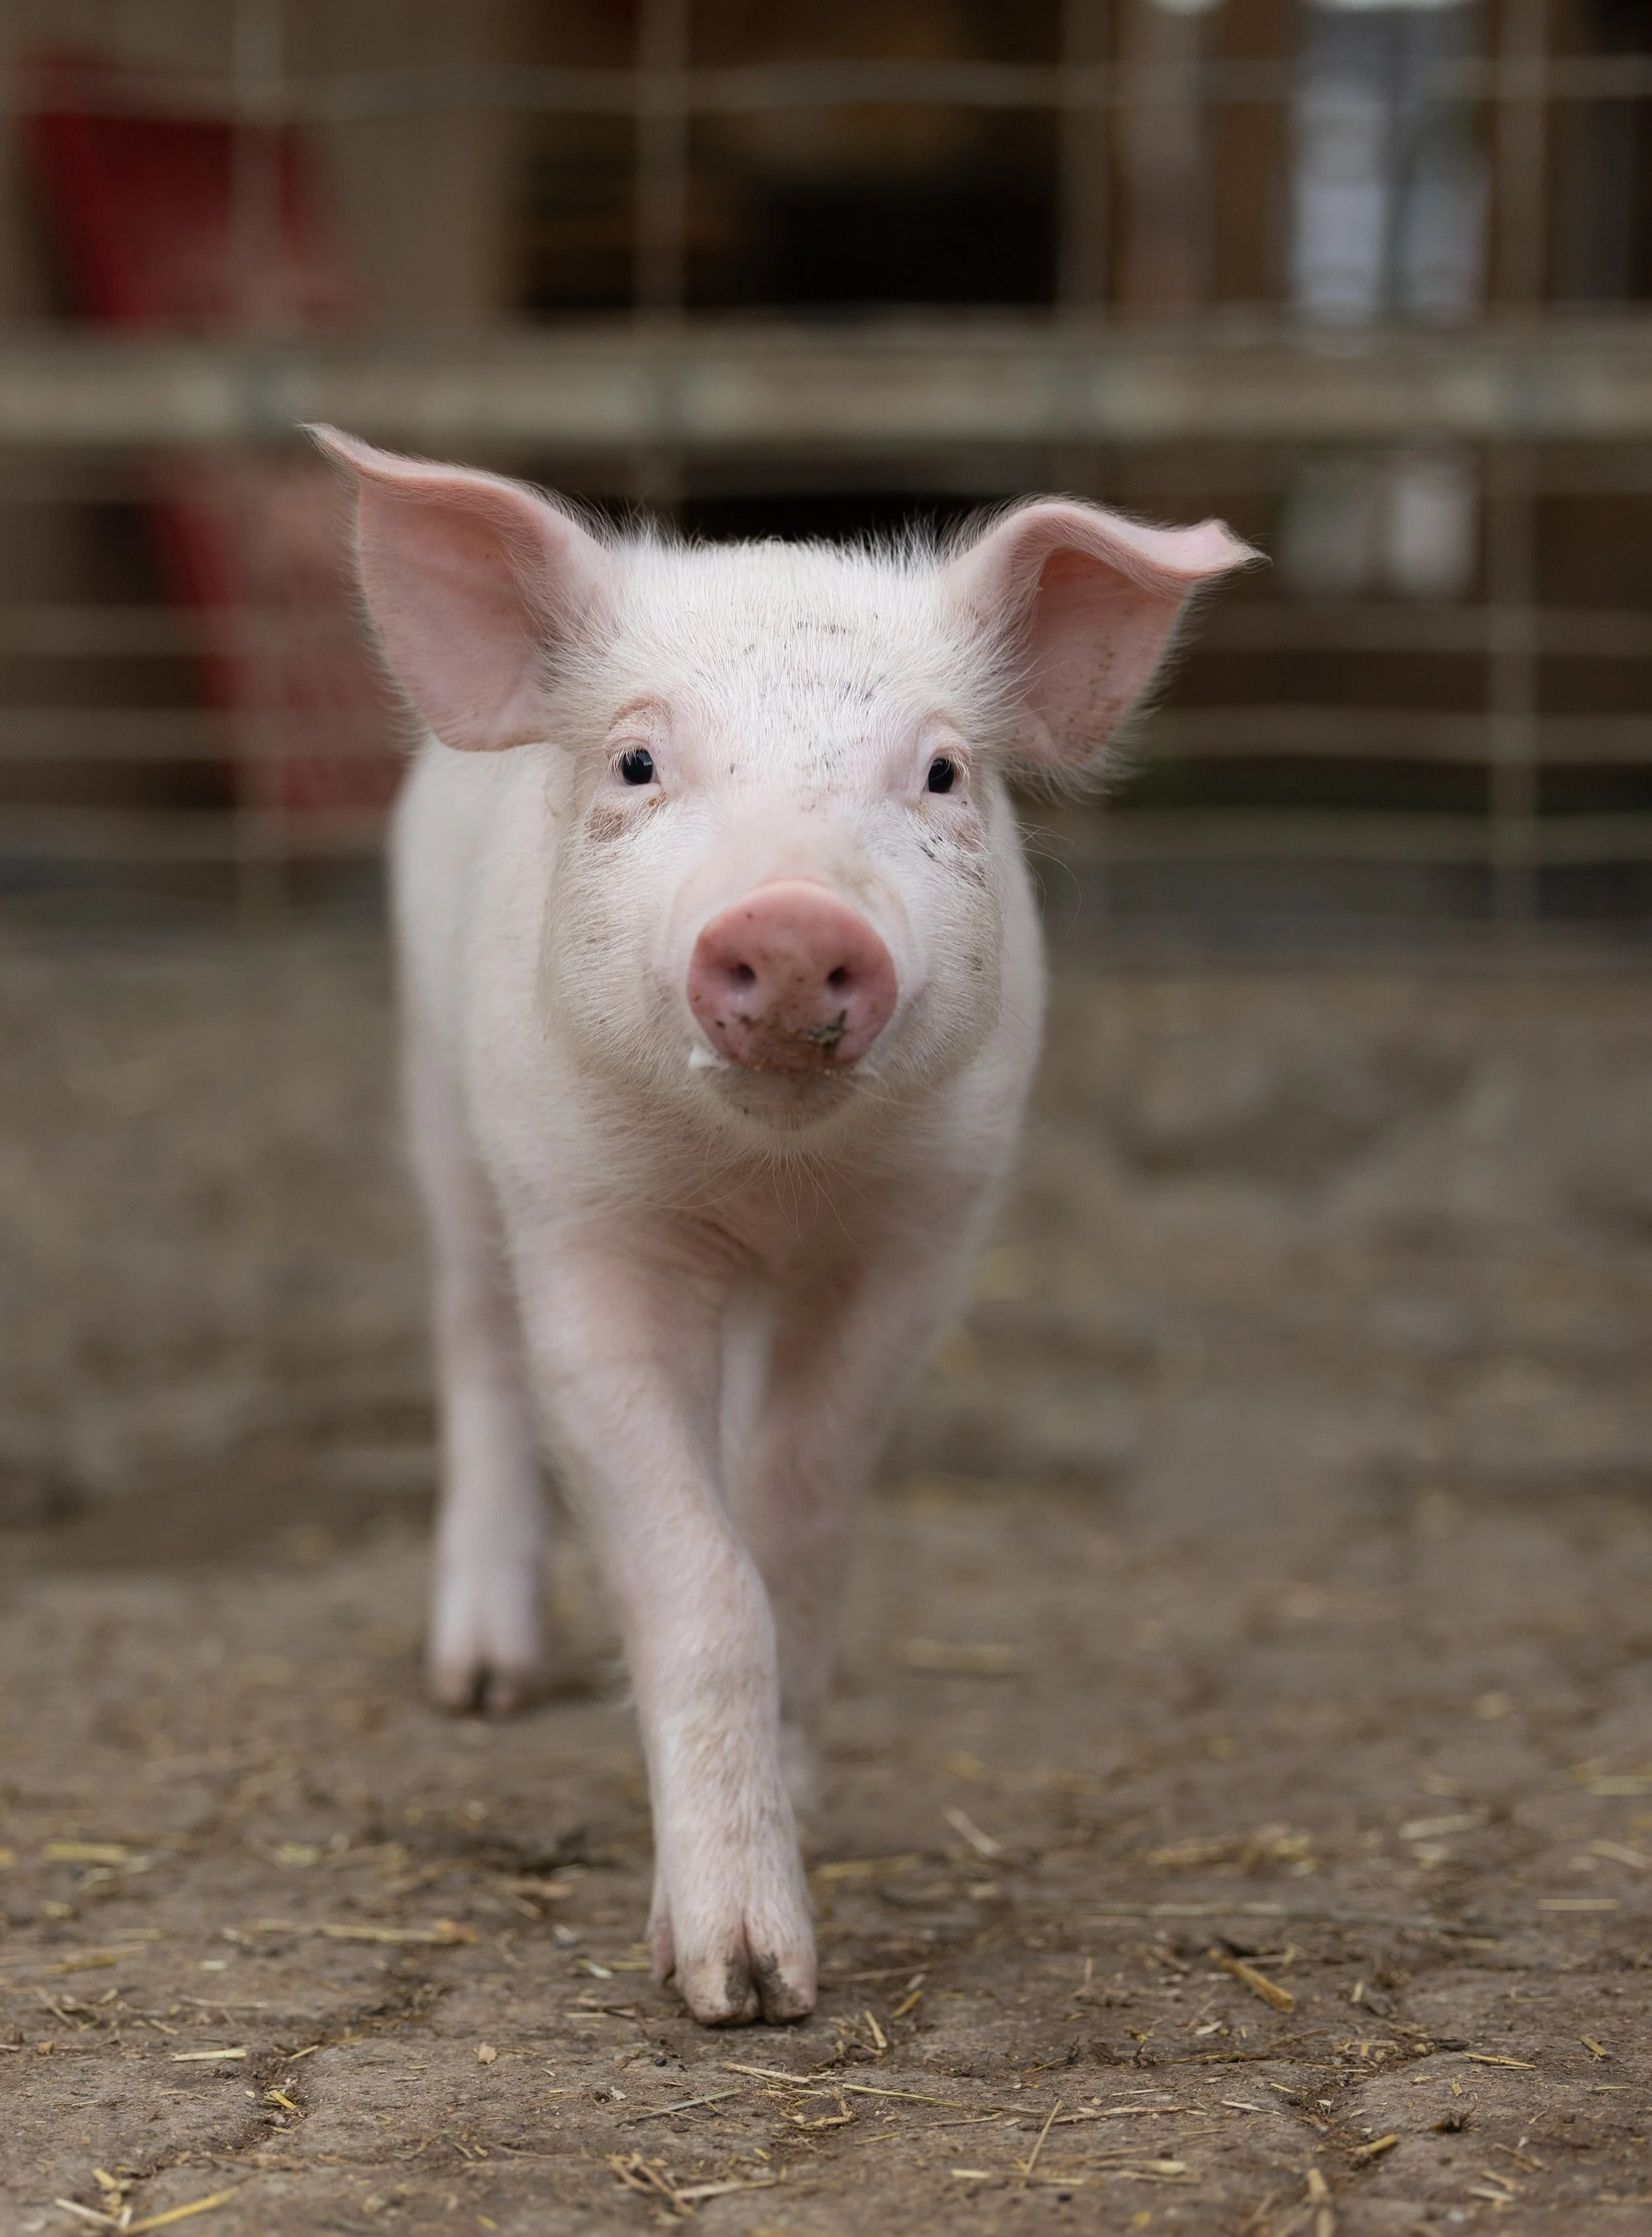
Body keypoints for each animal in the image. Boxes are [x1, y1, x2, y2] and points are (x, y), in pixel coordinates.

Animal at [311, 425, 1249, 2025]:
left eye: (938, 770)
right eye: (637, 760)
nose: (801, 924)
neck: (767, 1188)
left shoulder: (915, 1242)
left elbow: (797, 1513)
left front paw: (792, 1846)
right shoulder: (584, 1226)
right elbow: (697, 1570)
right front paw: (739, 1986)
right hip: (441, 1103)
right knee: (475, 1348)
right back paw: (484, 1680)